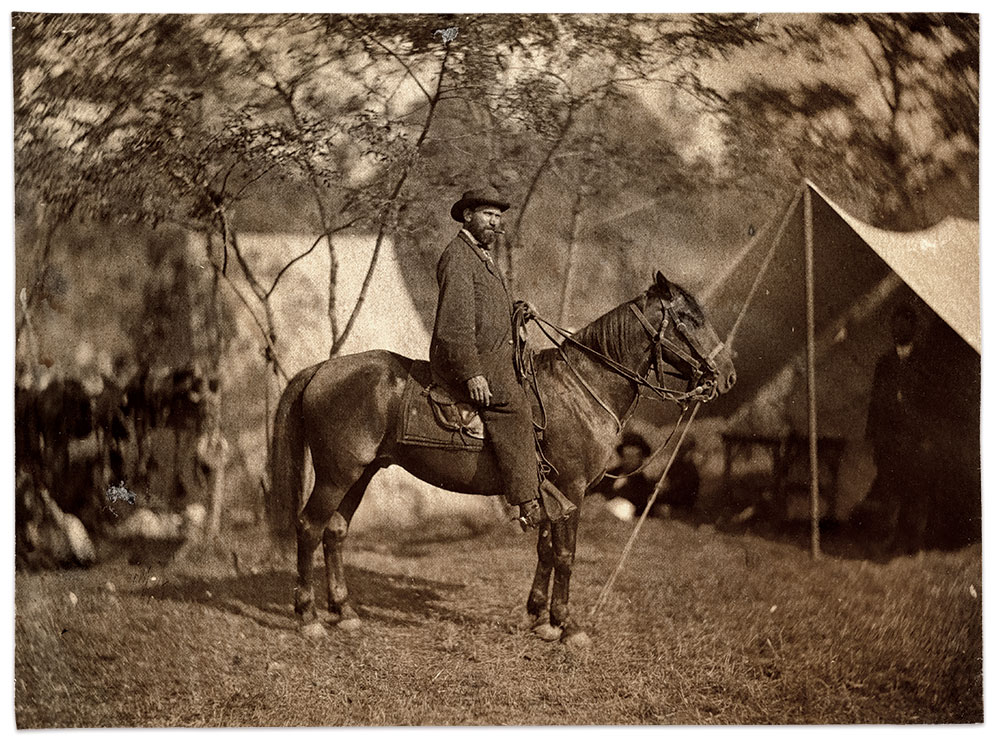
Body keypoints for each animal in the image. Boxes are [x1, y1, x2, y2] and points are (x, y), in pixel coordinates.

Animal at [266, 274, 736, 644]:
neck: (580, 388)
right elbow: (566, 555)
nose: (728, 376)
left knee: (335, 532)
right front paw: (567, 626)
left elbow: (546, 549)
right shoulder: (571, 490)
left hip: (360, 473)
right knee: (309, 528)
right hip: (336, 473)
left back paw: (344, 612)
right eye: (689, 319)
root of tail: (322, 369)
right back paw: (309, 618)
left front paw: (538, 617)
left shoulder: (551, 493)